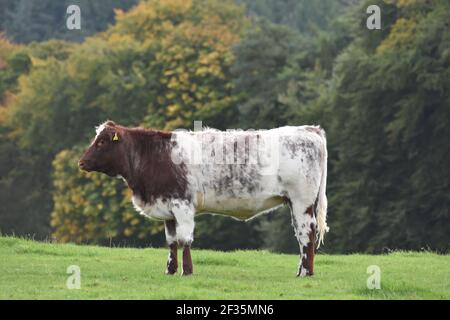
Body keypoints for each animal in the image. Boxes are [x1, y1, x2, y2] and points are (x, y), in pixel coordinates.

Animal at [79, 121, 328, 276]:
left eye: (101, 142)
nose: (81, 162)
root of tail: (309, 130)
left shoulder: (182, 205)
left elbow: (184, 239)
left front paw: (187, 271)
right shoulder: (167, 207)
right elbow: (171, 241)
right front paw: (170, 270)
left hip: (302, 202)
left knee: (306, 235)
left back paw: (305, 272)